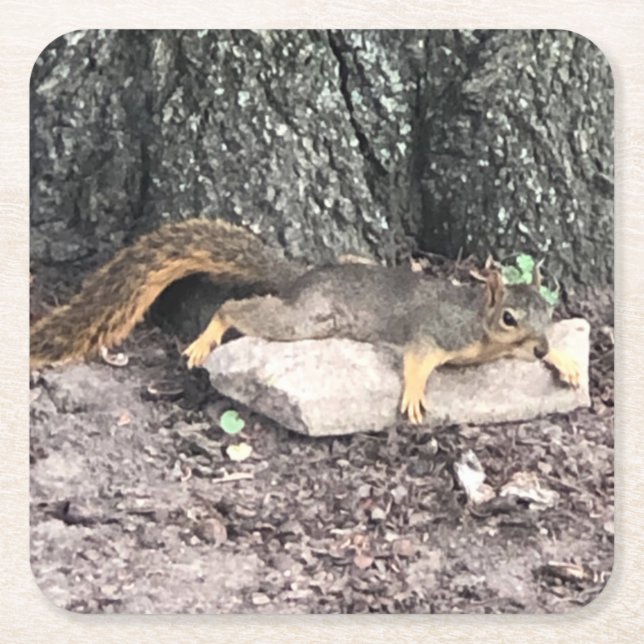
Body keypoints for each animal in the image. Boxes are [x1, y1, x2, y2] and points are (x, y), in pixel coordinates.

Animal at [30, 218, 581, 424]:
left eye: (548, 313)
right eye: (508, 317)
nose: (536, 347)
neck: (480, 324)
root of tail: (303, 276)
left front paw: (566, 360)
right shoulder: (439, 329)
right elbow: (417, 357)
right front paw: (414, 393)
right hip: (306, 319)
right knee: (235, 309)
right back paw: (205, 340)